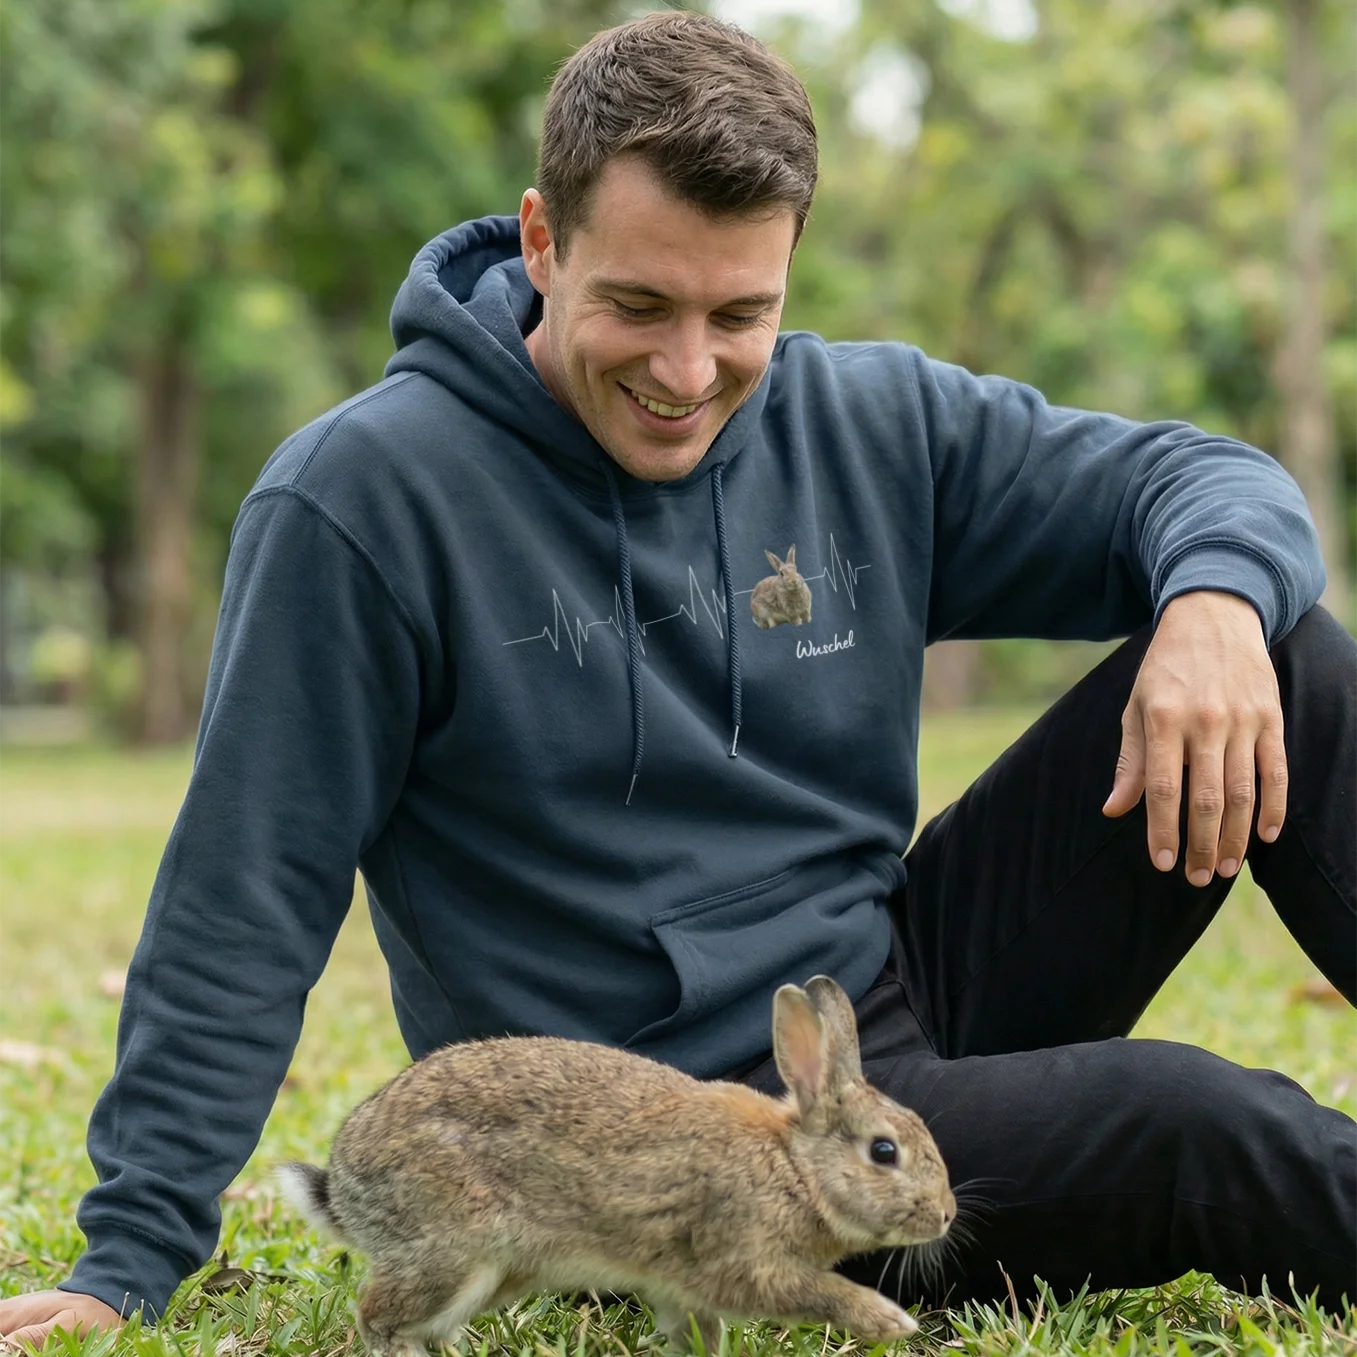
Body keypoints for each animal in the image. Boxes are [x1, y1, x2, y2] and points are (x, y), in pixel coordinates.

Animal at [278, 975, 954, 1357]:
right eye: (884, 1152)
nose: (946, 1216)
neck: (796, 1169)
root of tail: (344, 1183)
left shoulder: (685, 1289)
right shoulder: (744, 1260)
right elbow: (816, 1292)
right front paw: (890, 1322)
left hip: (499, 1273)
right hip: (454, 1251)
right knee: (379, 1316)